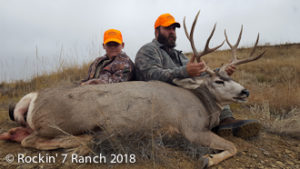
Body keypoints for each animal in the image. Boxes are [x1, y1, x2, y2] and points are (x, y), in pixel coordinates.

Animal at [0, 10, 264, 168]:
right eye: (218, 81)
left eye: (230, 76)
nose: (245, 92)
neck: (200, 103)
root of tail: (34, 96)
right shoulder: (191, 129)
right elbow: (232, 146)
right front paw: (208, 159)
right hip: (61, 123)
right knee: (31, 140)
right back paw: (84, 142)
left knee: (17, 134)